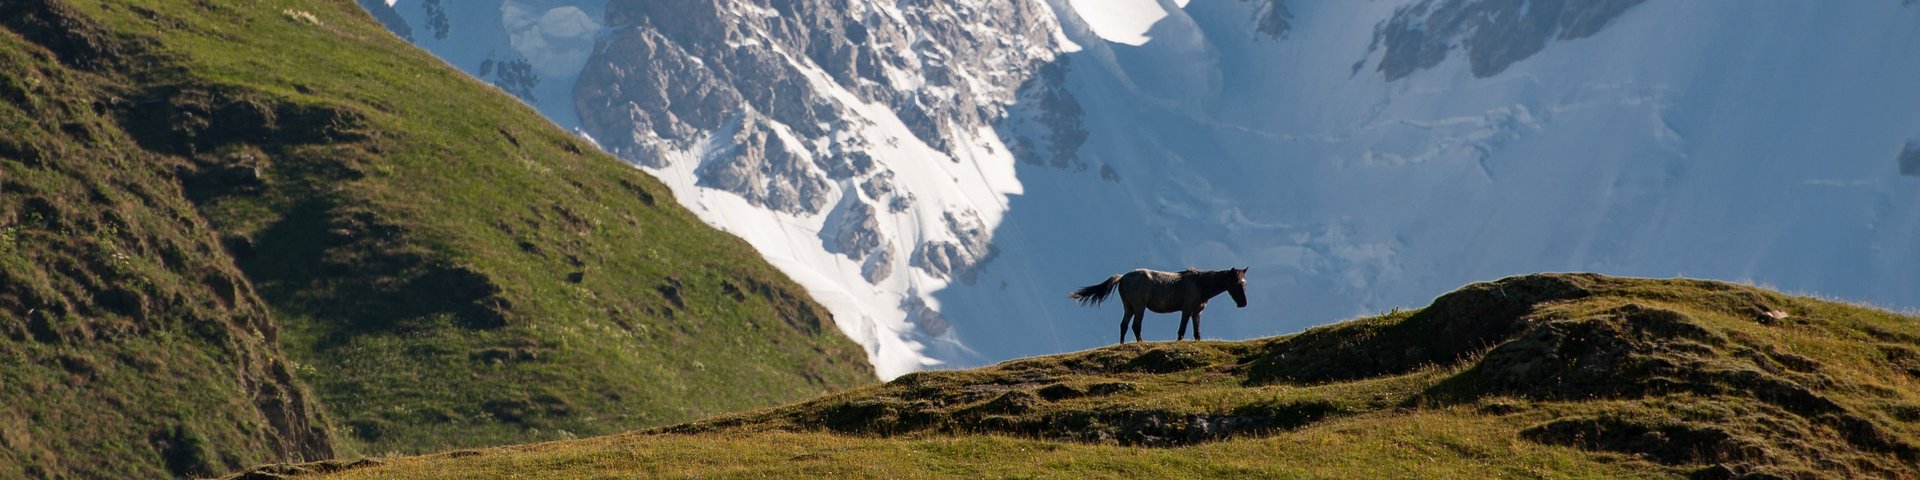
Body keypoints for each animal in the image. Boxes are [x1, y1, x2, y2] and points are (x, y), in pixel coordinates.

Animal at [1068, 268, 1248, 344]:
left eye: (1245, 283)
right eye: (1237, 283)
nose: (1243, 303)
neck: (1200, 284)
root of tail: (1122, 277)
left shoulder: (1197, 312)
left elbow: (1197, 332)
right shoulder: (1187, 310)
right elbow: (1182, 330)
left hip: (1129, 307)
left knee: (1123, 325)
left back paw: (1122, 344)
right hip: (1139, 307)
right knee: (1135, 326)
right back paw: (1141, 343)